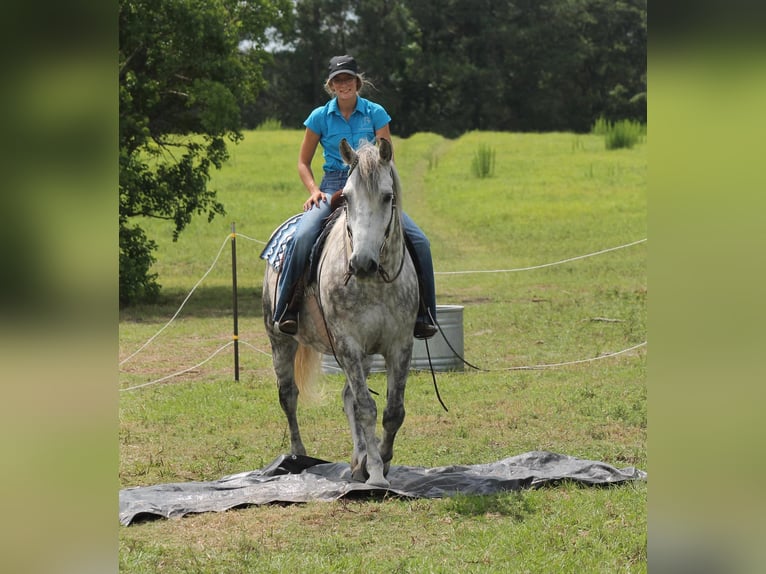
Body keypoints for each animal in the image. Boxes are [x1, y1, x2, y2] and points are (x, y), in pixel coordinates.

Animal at [264, 137, 420, 488]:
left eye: (387, 196)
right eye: (346, 197)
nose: (361, 263)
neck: (374, 283)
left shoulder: (399, 345)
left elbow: (393, 411)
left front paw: (378, 462)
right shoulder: (347, 344)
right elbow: (366, 408)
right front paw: (376, 474)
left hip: (364, 355)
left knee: (348, 396)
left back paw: (357, 459)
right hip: (281, 340)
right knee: (288, 395)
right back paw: (297, 458)